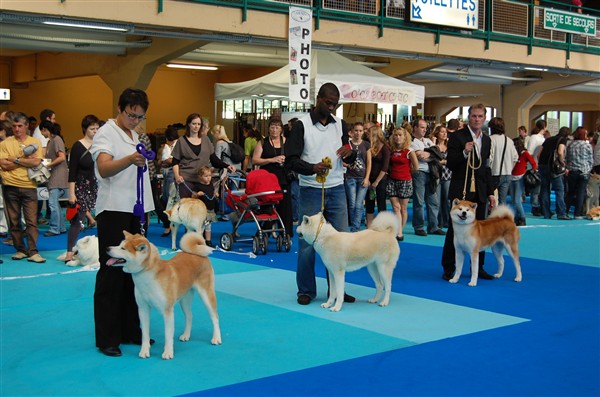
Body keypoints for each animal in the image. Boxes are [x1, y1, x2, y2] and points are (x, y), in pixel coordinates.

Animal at [106, 229, 221, 358]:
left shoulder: (167, 311)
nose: (107, 248)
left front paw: (168, 352)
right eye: (119, 244)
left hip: (206, 295)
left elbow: (168, 335)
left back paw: (216, 338)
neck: (146, 278)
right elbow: (145, 334)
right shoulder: (143, 309)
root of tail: (200, 254)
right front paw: (144, 351)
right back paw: (186, 335)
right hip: (184, 300)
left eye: (123, 248)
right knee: (189, 316)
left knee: (215, 317)